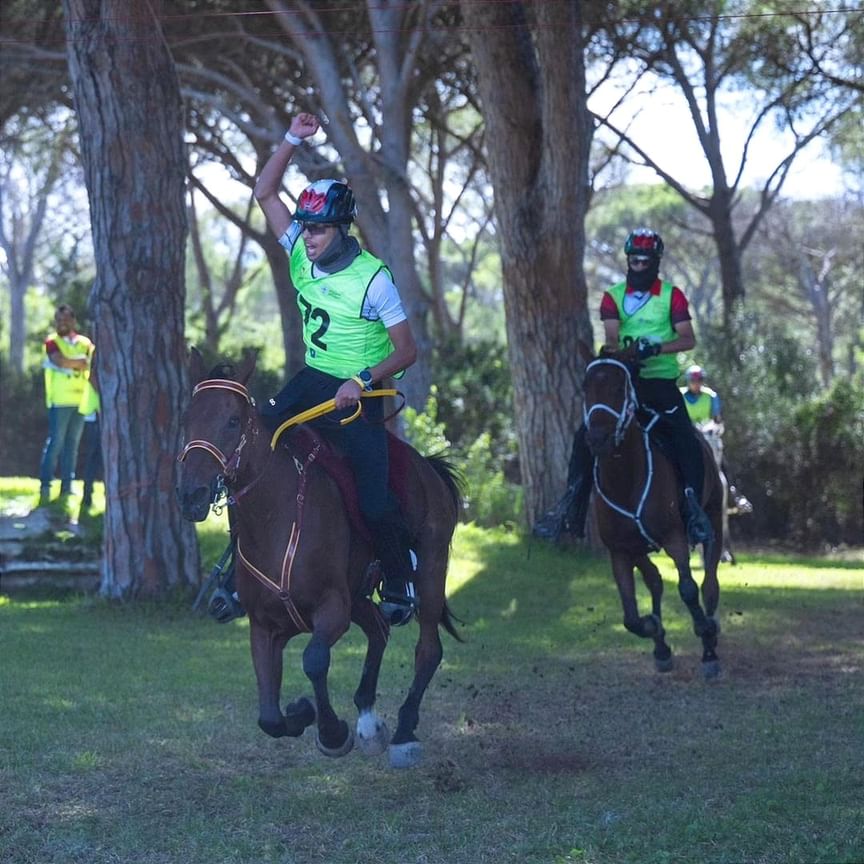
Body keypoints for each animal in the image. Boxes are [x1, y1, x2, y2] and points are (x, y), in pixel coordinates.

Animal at [176, 348, 466, 768]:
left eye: (232, 421)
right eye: (187, 419)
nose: (191, 495)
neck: (276, 518)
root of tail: (428, 467)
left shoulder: (332, 608)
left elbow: (314, 660)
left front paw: (331, 733)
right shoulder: (264, 627)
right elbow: (269, 718)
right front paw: (302, 713)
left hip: (429, 568)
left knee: (427, 649)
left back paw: (403, 734)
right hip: (359, 594)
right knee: (379, 627)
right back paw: (368, 722)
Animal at [584, 348, 724, 680]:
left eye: (618, 387)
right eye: (585, 387)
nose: (597, 438)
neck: (625, 477)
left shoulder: (674, 538)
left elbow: (688, 589)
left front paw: (705, 637)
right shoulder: (621, 551)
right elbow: (631, 615)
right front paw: (655, 629)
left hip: (712, 517)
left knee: (709, 584)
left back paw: (711, 635)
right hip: (640, 548)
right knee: (656, 581)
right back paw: (661, 647)